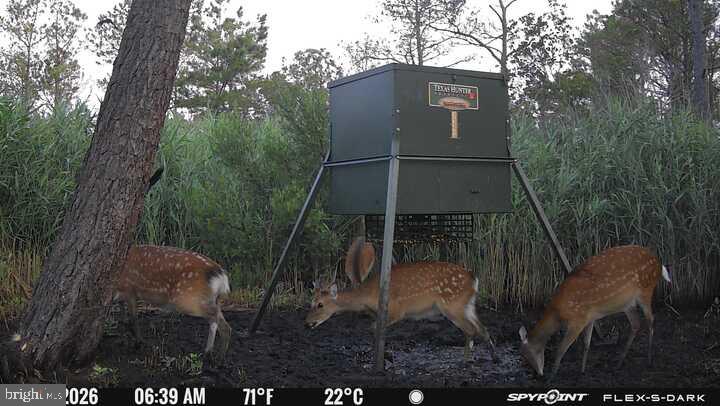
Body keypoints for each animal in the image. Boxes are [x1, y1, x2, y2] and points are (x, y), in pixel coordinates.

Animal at [306, 241, 496, 361]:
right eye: (310, 302)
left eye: (320, 304)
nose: (307, 323)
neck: (368, 295)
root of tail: (474, 278)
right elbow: (374, 328)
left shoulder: (397, 309)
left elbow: (374, 328)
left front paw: (383, 357)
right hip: (467, 304)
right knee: (483, 328)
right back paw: (495, 358)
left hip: (452, 305)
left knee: (471, 329)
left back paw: (465, 362)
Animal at [518, 245, 671, 380]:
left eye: (527, 354)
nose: (539, 374)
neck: (558, 313)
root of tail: (659, 263)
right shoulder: (590, 317)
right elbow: (586, 344)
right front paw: (582, 371)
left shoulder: (578, 320)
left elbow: (561, 349)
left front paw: (552, 376)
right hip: (627, 303)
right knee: (636, 324)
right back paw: (618, 363)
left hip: (646, 290)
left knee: (651, 320)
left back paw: (649, 360)